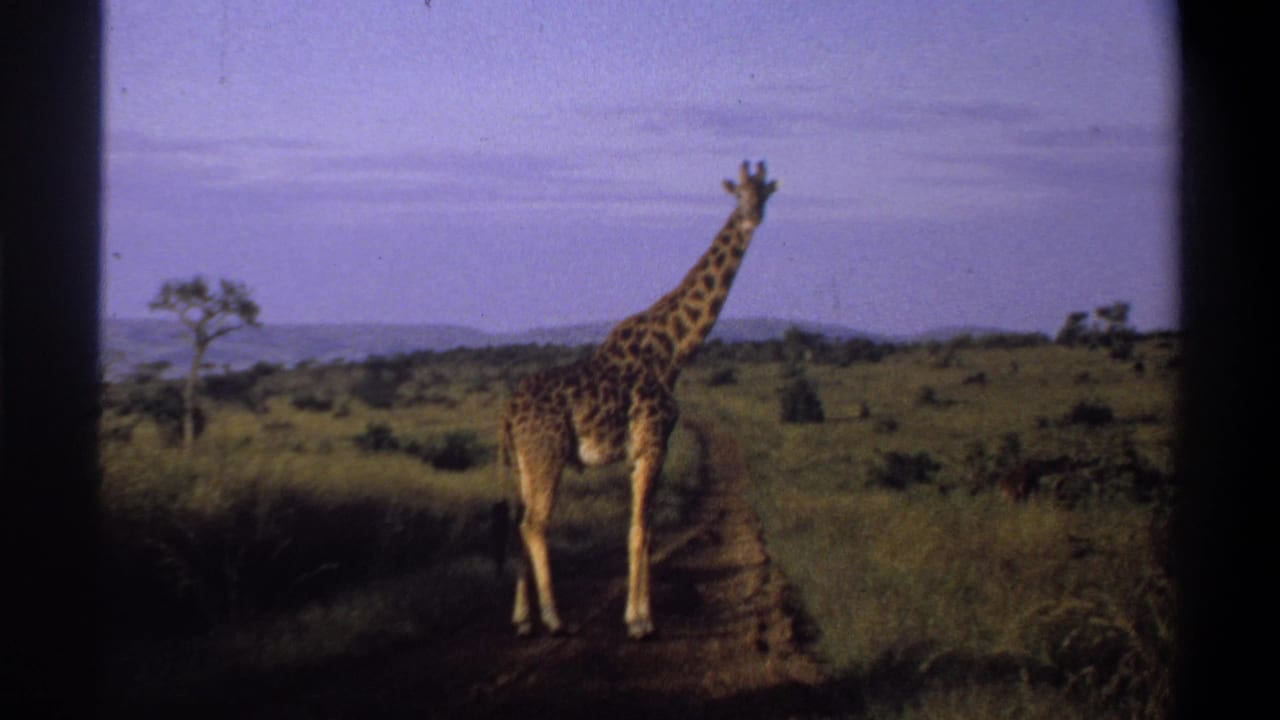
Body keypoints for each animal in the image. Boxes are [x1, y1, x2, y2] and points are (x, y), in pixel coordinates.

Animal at [499, 160, 778, 639]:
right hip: (547, 454)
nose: (752, 218)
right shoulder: (652, 442)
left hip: (523, 462)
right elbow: (641, 529)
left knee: (520, 524)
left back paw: (522, 619)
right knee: (535, 524)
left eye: (763, 195)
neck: (674, 350)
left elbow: (644, 528)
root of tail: (508, 412)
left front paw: (640, 614)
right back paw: (554, 618)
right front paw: (640, 621)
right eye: (739, 195)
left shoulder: (643, 450)